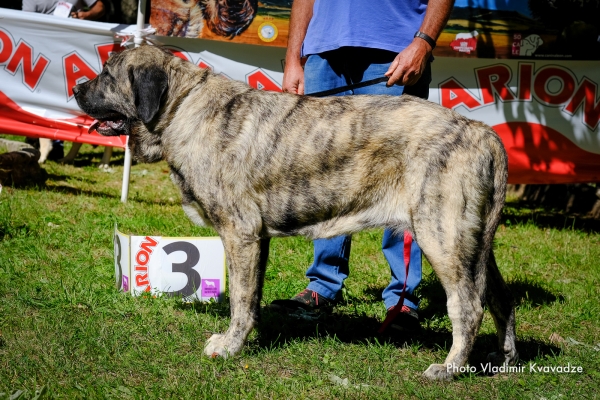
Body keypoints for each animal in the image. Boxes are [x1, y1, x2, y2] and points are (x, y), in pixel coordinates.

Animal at [72, 45, 516, 380]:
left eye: (107, 75)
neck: (182, 107)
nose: (77, 87)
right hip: (475, 242)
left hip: (442, 237)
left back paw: (450, 368)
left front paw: (229, 346)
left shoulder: (240, 232)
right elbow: (250, 297)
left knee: (468, 306)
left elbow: (239, 297)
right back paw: (504, 357)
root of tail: (482, 133)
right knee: (500, 298)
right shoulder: (255, 239)